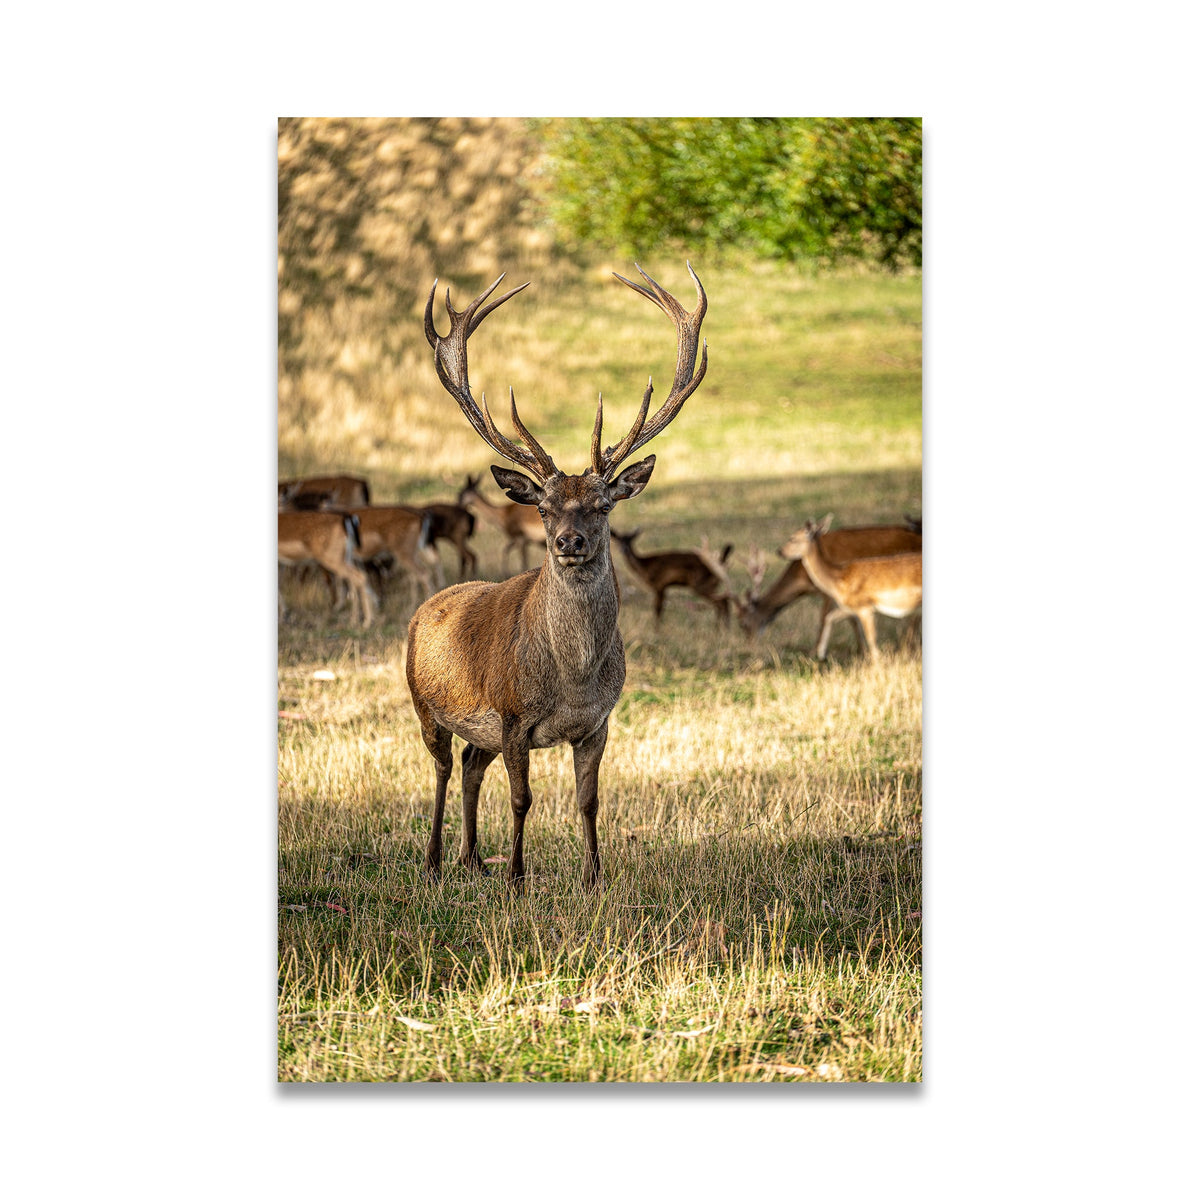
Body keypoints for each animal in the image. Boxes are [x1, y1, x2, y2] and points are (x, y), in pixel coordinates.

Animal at [407, 263, 709, 889]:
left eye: (603, 504)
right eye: (544, 508)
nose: (569, 541)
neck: (570, 678)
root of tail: (424, 609)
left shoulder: (598, 722)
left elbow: (588, 800)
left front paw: (594, 877)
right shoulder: (513, 716)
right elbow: (522, 800)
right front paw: (518, 878)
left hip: (480, 731)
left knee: (470, 765)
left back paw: (472, 858)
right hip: (426, 704)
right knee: (442, 769)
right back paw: (434, 860)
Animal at [780, 515, 922, 661]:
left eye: (792, 538)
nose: (780, 551)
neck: (839, 582)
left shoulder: (864, 607)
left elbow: (872, 640)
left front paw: (877, 662)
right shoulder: (852, 606)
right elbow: (830, 617)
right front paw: (821, 653)